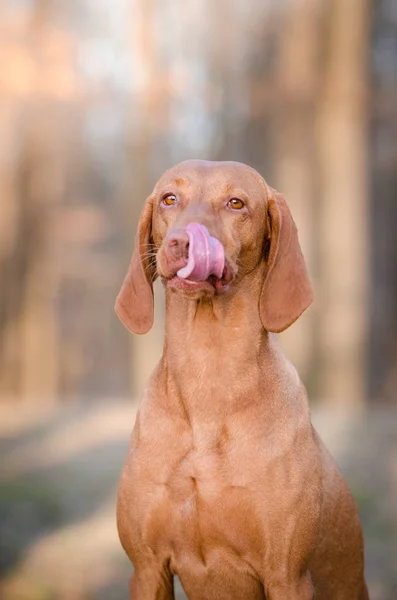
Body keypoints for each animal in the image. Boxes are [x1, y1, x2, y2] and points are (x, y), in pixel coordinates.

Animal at [114, 161, 368, 600]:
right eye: (169, 199)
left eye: (236, 203)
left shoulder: (287, 575)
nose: (182, 242)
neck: (207, 376)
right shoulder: (147, 569)